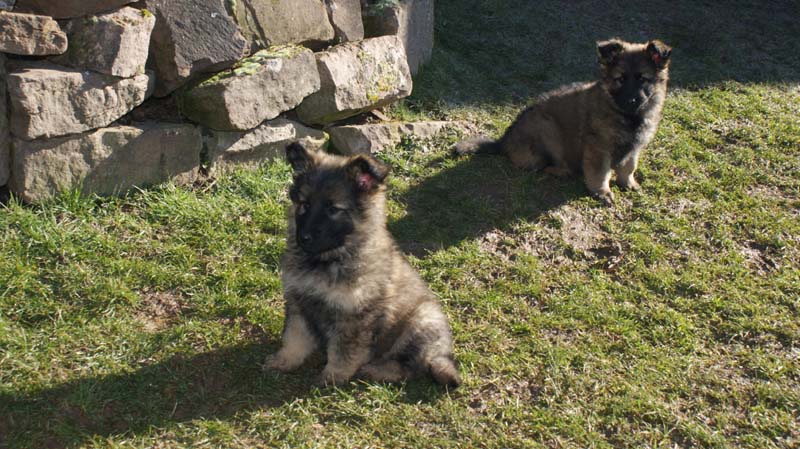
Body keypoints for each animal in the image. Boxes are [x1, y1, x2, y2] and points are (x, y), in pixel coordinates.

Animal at [263, 142, 461, 388]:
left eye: (333, 209)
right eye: (304, 204)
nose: (304, 238)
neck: (328, 259)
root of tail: (440, 355)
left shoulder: (353, 316)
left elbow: (343, 352)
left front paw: (332, 377)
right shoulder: (298, 302)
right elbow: (294, 337)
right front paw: (285, 360)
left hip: (421, 321)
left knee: (407, 367)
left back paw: (374, 371)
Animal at [455, 39, 672, 205]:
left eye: (643, 79)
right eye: (620, 79)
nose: (631, 100)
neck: (627, 116)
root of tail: (504, 142)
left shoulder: (634, 147)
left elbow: (629, 167)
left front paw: (628, 183)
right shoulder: (598, 147)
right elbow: (600, 172)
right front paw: (602, 192)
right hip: (548, 129)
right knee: (540, 166)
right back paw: (562, 171)